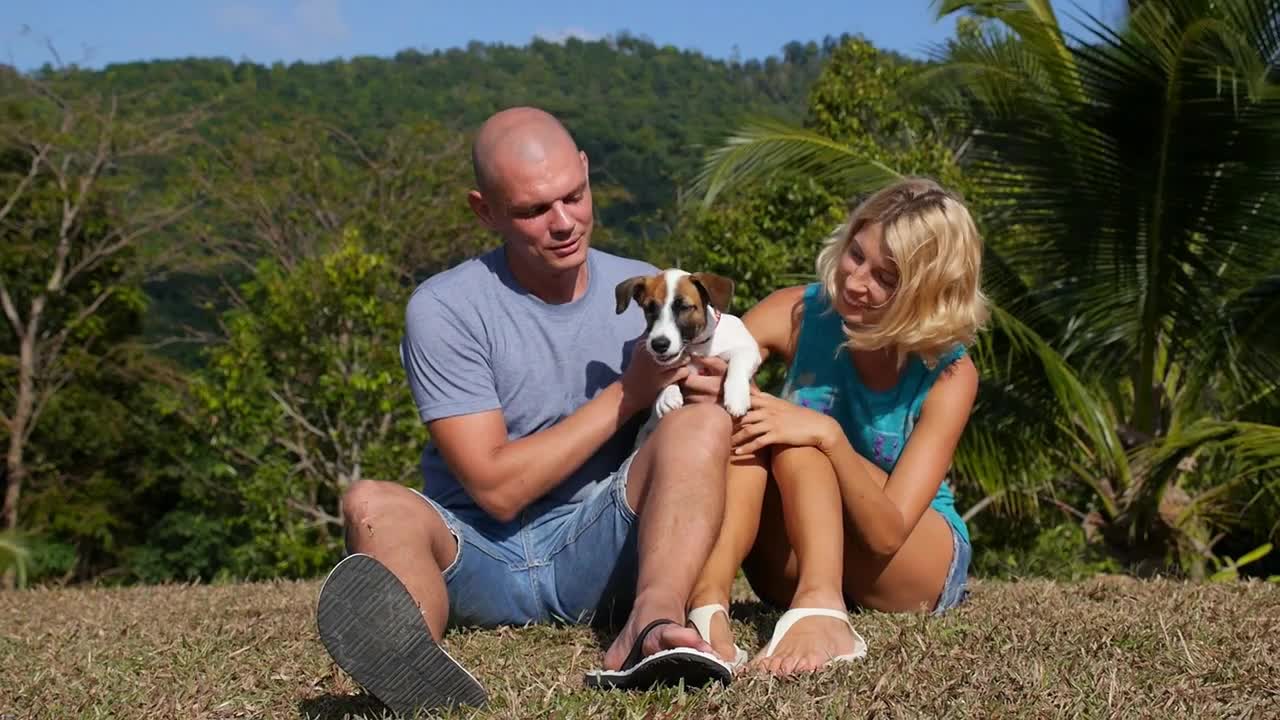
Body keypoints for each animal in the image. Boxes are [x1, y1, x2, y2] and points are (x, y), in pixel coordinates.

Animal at [616, 266, 757, 427]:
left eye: (684, 307)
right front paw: (667, 394)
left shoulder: (748, 349)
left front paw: (736, 396)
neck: (696, 347)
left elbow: (738, 362)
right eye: (649, 309)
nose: (659, 344)